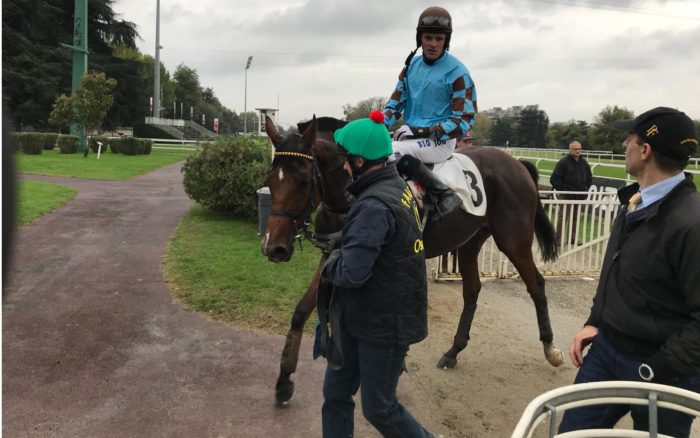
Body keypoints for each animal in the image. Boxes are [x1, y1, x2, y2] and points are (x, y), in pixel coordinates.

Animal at [260, 114, 560, 406]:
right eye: (270, 178)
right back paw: (453, 351)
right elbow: (301, 311)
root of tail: (517, 164)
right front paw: (284, 379)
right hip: (469, 242)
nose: (274, 248)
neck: (351, 189)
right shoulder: (330, 256)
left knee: (537, 285)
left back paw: (551, 348)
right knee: (473, 290)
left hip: (514, 241)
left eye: (302, 181)